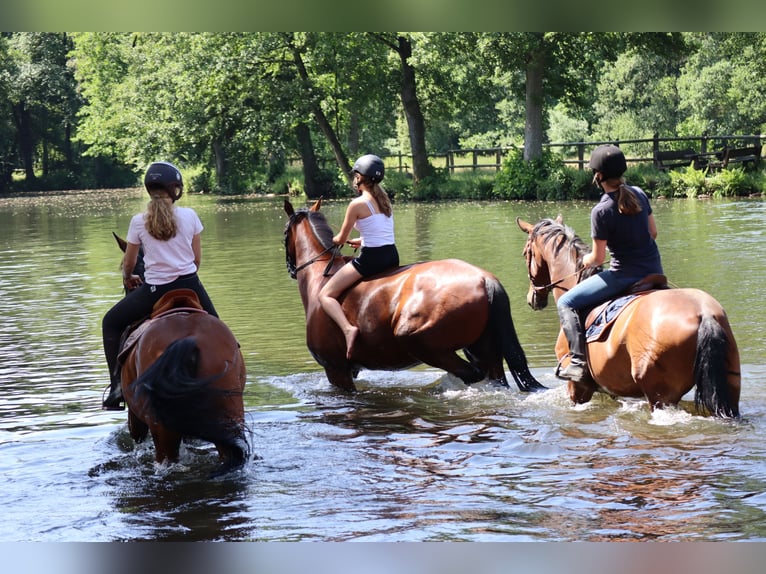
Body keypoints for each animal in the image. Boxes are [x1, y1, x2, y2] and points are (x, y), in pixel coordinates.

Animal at [284, 199, 544, 396]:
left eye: (285, 232)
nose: (290, 270)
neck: (320, 278)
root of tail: (485, 279)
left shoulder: (336, 370)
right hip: (482, 348)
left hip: (422, 343)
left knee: (470, 374)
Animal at [516, 216, 744, 418]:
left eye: (526, 253)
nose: (532, 298)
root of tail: (704, 314)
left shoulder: (577, 387)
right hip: (730, 387)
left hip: (660, 396)